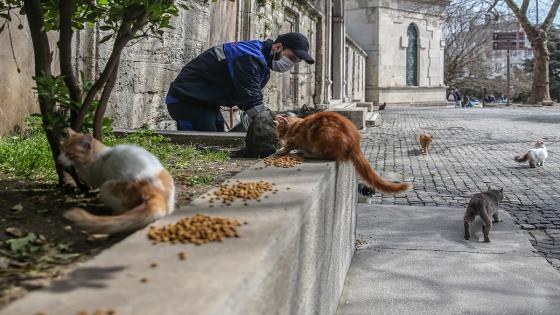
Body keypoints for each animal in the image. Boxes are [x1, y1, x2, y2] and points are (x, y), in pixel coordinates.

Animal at [274, 111, 412, 195]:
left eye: (279, 131)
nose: (278, 138)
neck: (296, 125)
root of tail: (355, 145)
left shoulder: (296, 139)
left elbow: (289, 145)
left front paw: (281, 150)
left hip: (325, 132)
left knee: (331, 156)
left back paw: (309, 153)